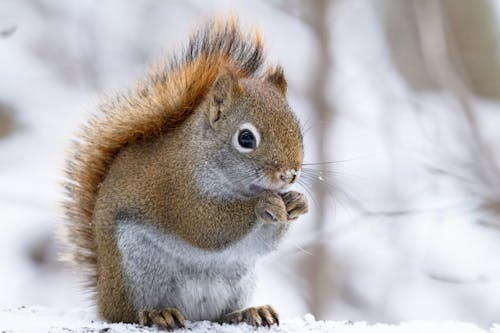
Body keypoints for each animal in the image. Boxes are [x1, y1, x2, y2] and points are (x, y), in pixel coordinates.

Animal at [63, 18, 308, 330]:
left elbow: (263, 243)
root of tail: (103, 295)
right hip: (137, 270)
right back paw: (157, 313)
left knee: (220, 315)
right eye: (246, 138)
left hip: (238, 279)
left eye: (298, 131)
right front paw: (263, 205)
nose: (290, 174)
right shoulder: (178, 191)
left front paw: (298, 202)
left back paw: (249, 312)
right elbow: (205, 226)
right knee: (127, 314)